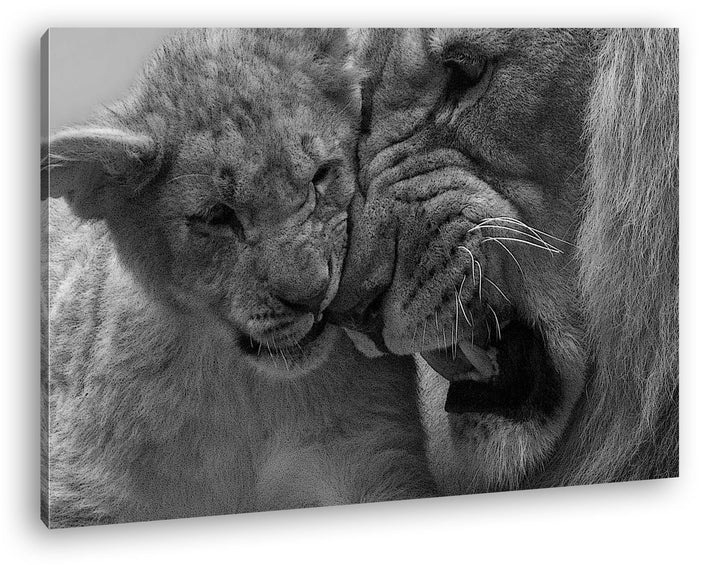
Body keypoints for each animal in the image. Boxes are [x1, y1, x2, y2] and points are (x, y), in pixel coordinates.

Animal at [41, 28, 434, 527]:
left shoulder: (374, 458)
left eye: (321, 175)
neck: (247, 393)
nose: (313, 296)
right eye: (217, 216)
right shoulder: (81, 496)